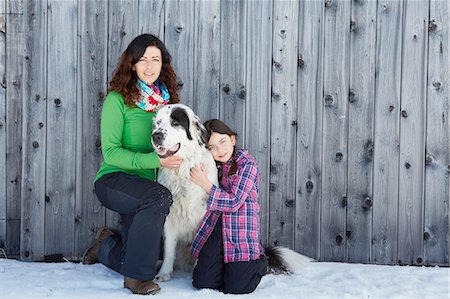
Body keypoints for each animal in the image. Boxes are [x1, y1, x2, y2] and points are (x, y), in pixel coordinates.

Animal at [151, 104, 312, 282]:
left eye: (175, 123)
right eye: (158, 123)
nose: (156, 136)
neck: (184, 168)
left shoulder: (206, 216)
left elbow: (201, 242)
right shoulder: (170, 216)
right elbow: (169, 250)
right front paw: (164, 273)